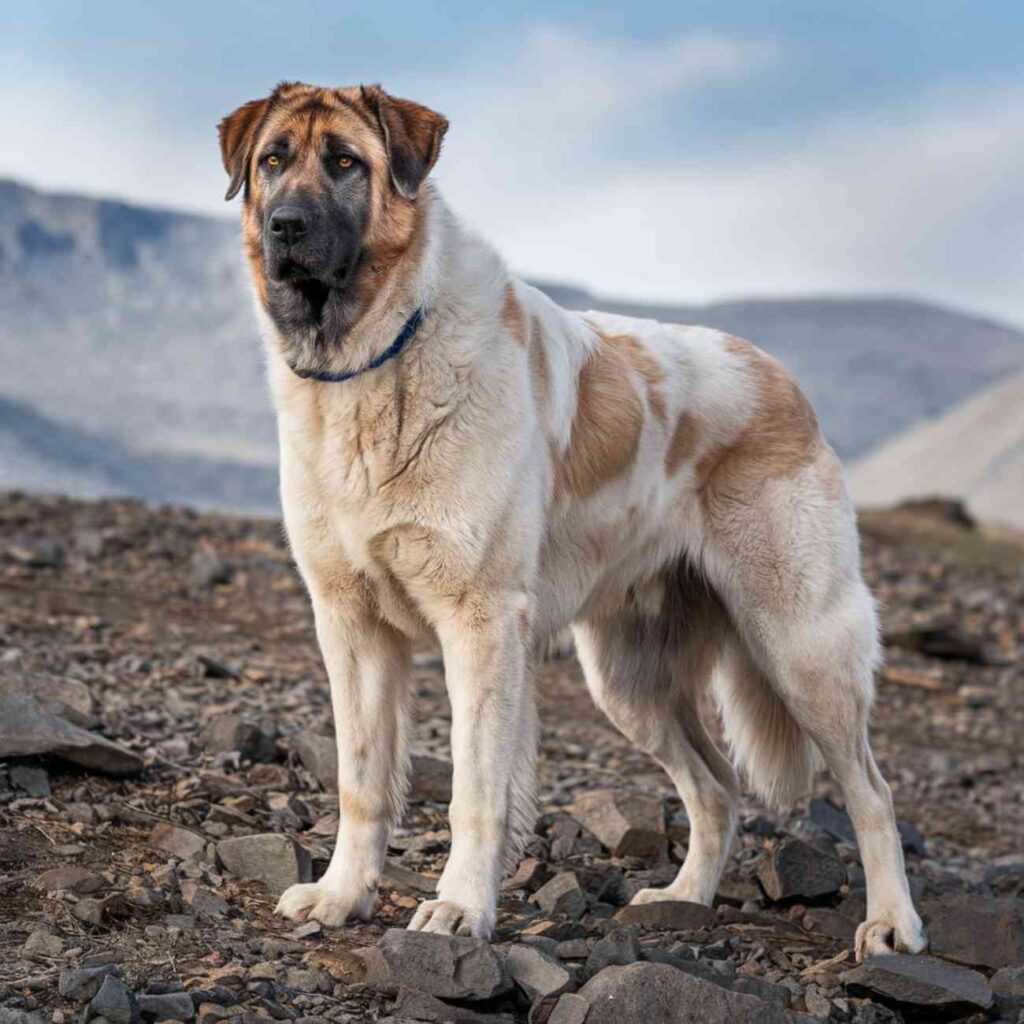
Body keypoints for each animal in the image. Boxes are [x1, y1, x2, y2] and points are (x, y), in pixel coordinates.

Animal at [218, 81, 929, 958]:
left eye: (345, 162)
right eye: (271, 161)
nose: (284, 226)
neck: (381, 356)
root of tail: (777, 377)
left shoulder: (482, 625)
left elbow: (474, 792)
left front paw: (460, 910)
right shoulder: (350, 623)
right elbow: (361, 779)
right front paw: (343, 894)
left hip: (800, 645)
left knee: (871, 791)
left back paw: (892, 922)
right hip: (628, 682)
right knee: (717, 789)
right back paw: (683, 898)